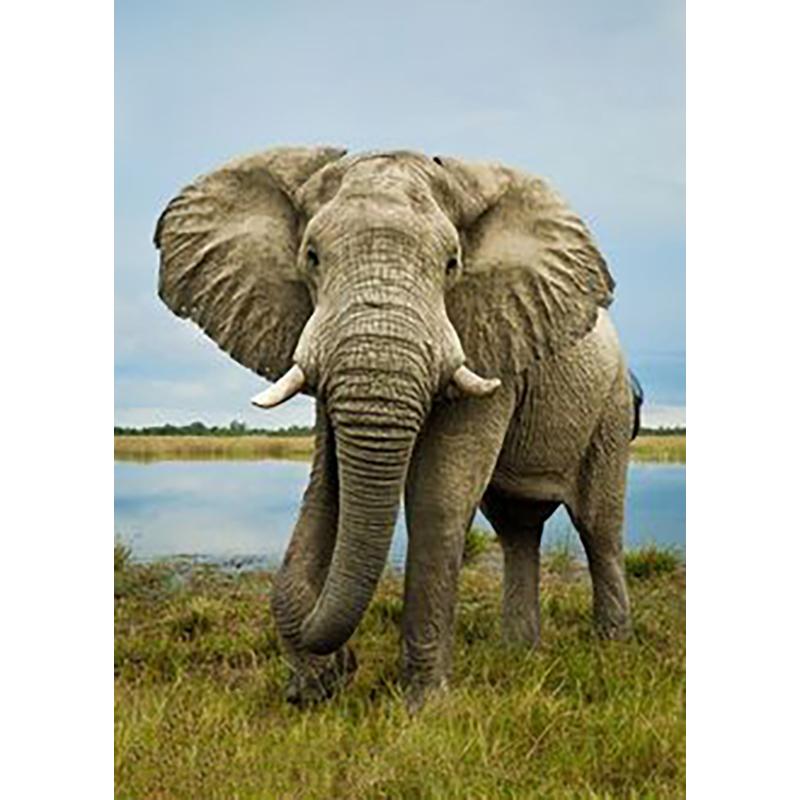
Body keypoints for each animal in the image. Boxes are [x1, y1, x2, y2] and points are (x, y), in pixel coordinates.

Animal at [154, 146, 638, 709]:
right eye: (311, 257)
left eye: (452, 265)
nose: (346, 662)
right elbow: (325, 489)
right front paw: (314, 687)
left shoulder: (490, 340)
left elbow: (437, 495)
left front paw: (423, 707)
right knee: (517, 529)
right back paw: (519, 651)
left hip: (610, 408)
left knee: (598, 526)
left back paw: (612, 649)